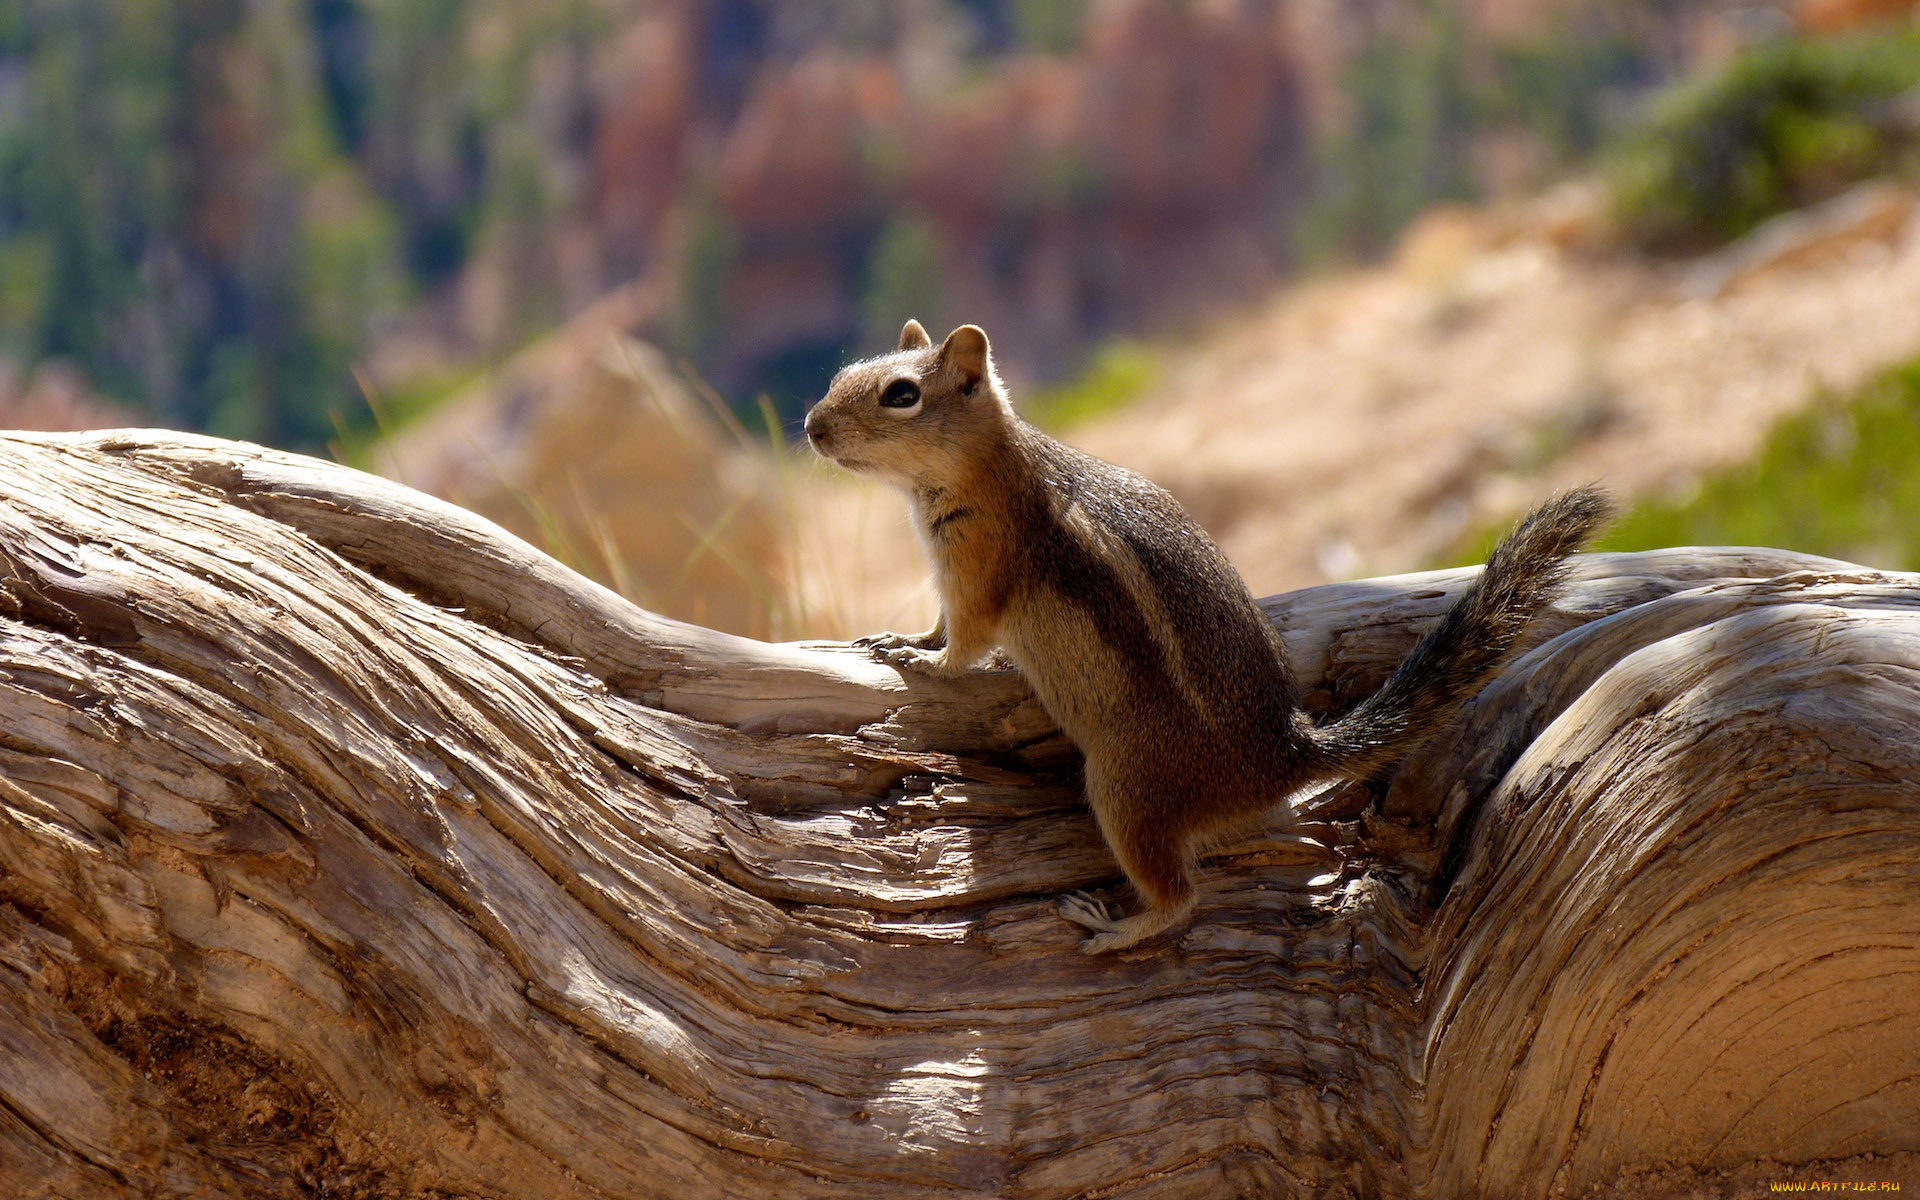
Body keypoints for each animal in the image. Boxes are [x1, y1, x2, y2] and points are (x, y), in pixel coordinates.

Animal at [802, 320, 1612, 956]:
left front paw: (917, 657)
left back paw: (1112, 928)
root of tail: (1285, 753)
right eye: (839, 375)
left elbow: (964, 644)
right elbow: (943, 621)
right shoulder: (951, 577)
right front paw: (903, 635)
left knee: (1182, 897)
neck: (984, 466)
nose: (811, 427)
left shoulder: (984, 565)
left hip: (1126, 784)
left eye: (901, 394)